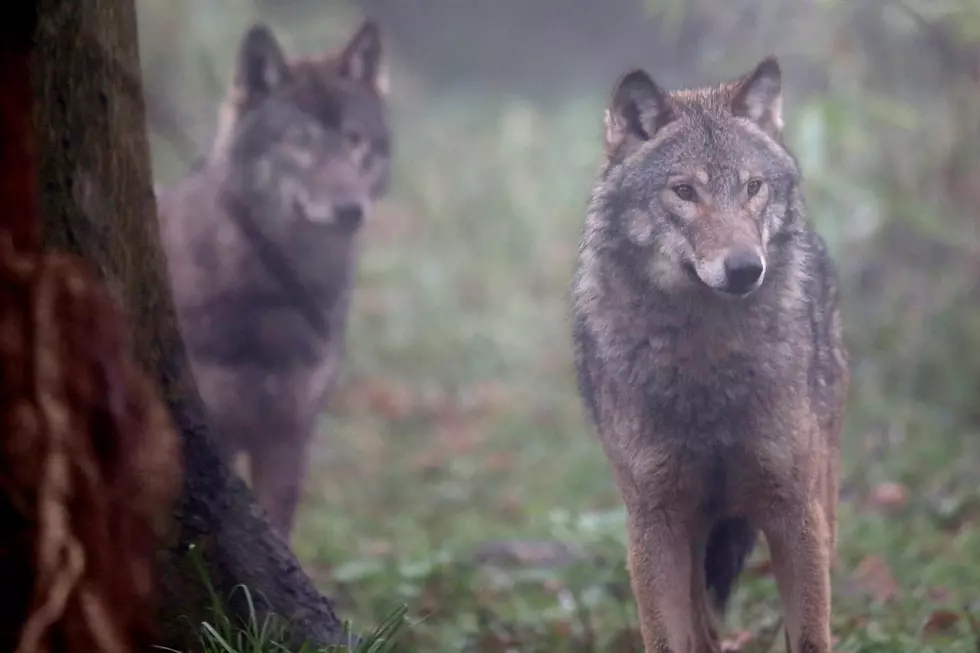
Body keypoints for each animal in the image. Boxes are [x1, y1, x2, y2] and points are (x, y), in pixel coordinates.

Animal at [570, 56, 849, 653]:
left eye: (752, 187)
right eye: (684, 191)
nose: (745, 268)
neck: (709, 361)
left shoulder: (795, 509)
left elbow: (810, 633)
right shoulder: (654, 521)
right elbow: (667, 638)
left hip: (823, 498)